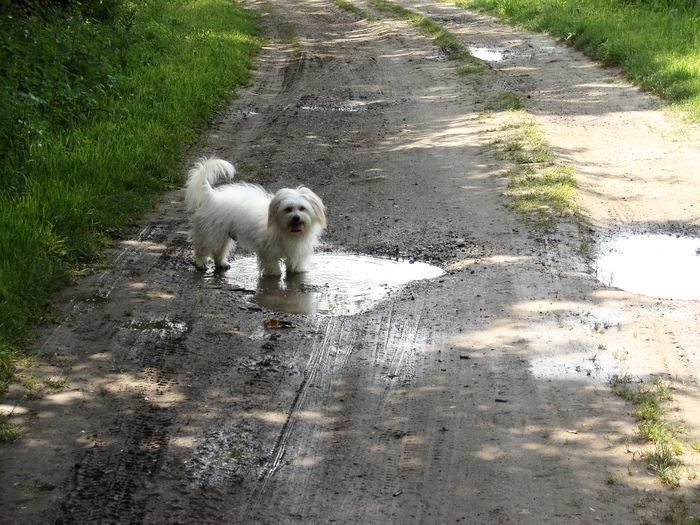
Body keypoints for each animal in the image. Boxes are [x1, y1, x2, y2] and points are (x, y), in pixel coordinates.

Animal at [186, 158, 328, 276]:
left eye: (302, 208)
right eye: (288, 209)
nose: (296, 218)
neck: (287, 232)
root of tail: (212, 196)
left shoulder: (297, 252)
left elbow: (295, 264)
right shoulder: (268, 251)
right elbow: (272, 266)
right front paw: (274, 274)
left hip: (224, 235)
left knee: (219, 250)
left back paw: (221, 263)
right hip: (210, 234)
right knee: (202, 248)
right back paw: (200, 264)